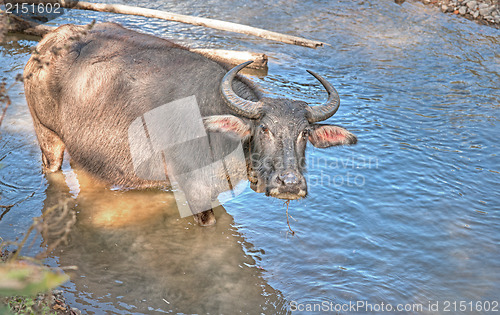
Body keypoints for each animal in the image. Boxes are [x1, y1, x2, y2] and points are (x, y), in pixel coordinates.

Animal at [24, 22, 356, 226]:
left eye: (304, 133)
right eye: (264, 129)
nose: (290, 184)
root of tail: (47, 44)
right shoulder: (195, 192)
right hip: (47, 136)